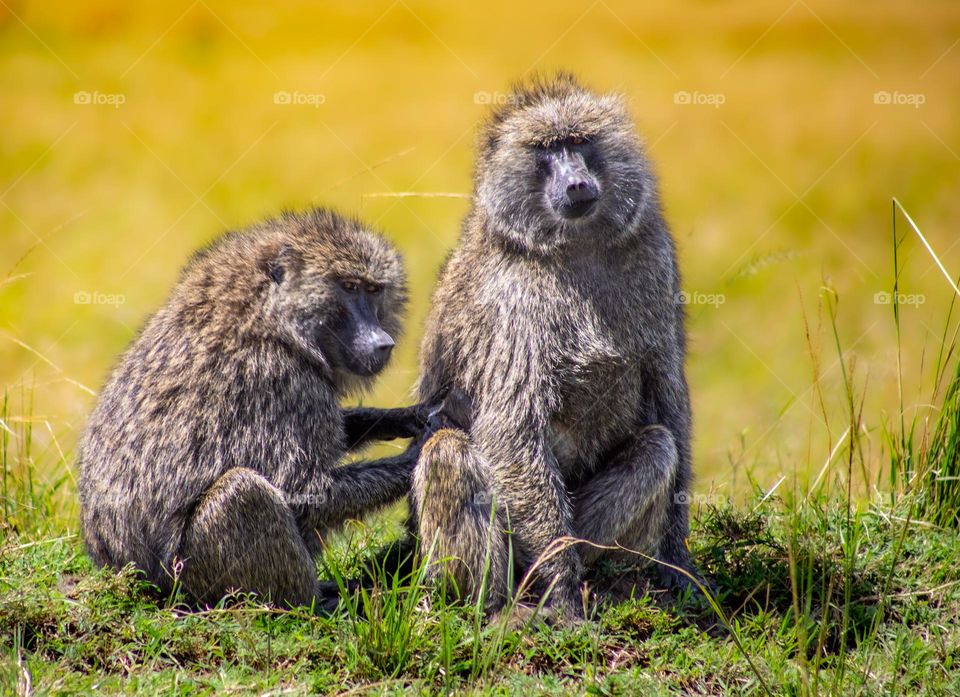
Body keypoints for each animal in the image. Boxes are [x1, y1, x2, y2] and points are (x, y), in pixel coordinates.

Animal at [77, 208, 436, 610]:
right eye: (349, 286)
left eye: (374, 290)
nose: (383, 343)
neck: (266, 315)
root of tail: (126, 574)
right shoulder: (278, 376)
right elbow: (304, 490)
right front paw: (419, 453)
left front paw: (406, 418)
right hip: (188, 576)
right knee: (243, 490)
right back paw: (310, 603)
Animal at [411, 73, 699, 620]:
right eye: (547, 149)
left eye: (581, 142)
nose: (577, 184)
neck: (572, 247)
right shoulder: (514, 302)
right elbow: (510, 427)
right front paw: (563, 591)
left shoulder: (655, 260)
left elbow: (667, 403)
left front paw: (678, 563)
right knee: (448, 452)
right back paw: (499, 608)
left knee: (657, 448)